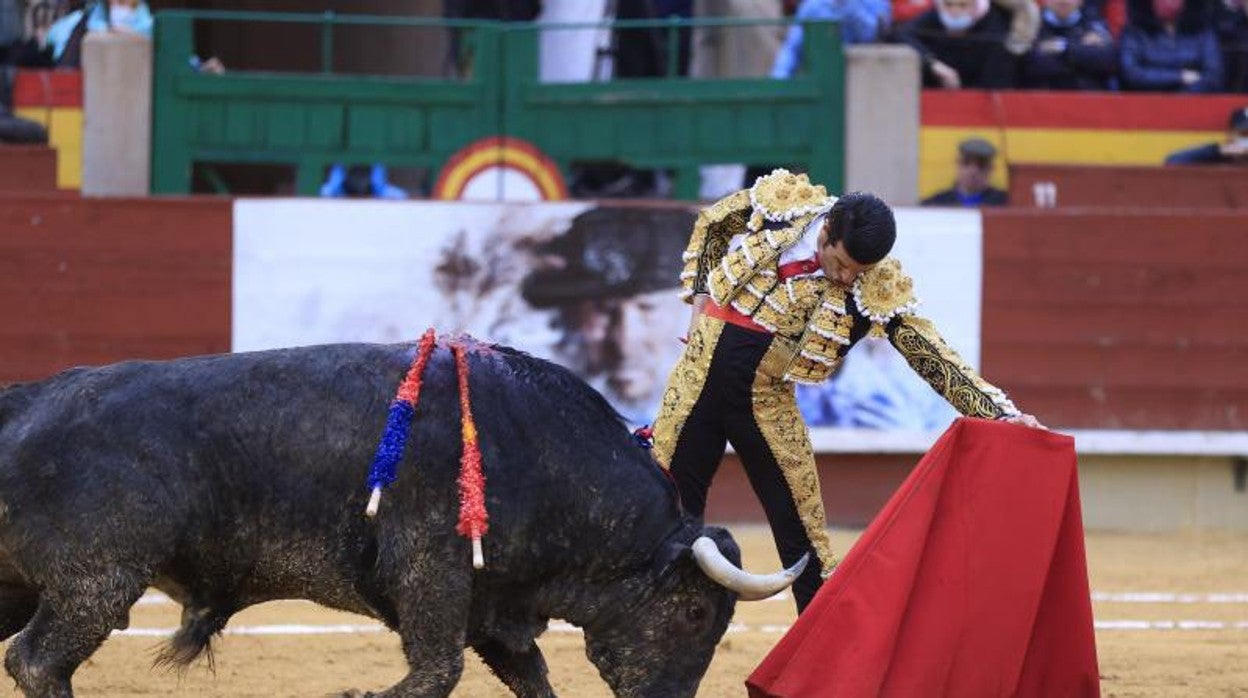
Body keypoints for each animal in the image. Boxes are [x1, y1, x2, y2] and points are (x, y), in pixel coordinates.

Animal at [0, 342, 798, 694]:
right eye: (695, 613)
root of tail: (24, 402)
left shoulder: (490, 604)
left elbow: (529, 676)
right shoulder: (430, 573)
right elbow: (437, 671)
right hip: (97, 583)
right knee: (37, 662)